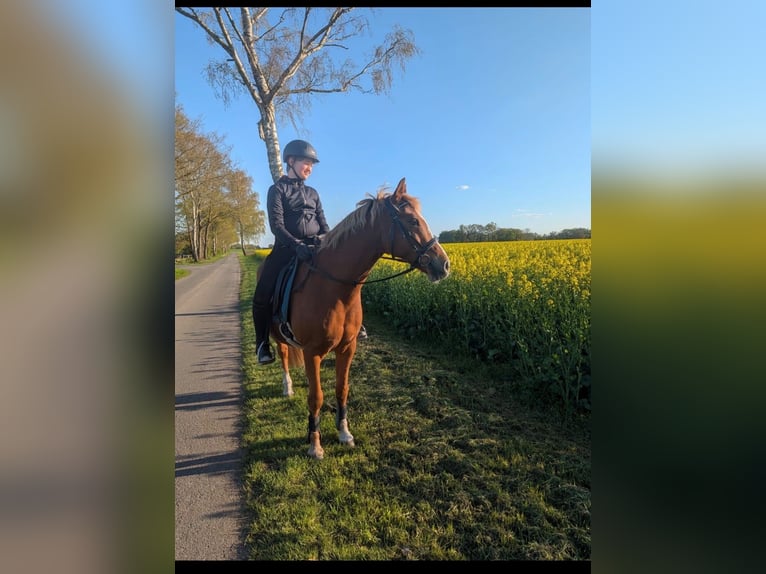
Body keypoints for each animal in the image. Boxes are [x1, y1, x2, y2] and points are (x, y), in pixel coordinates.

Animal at [258, 177, 450, 459]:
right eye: (412, 221)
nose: (444, 265)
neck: (334, 288)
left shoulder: (347, 348)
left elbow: (342, 389)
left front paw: (344, 433)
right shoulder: (312, 352)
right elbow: (316, 396)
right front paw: (314, 444)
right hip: (277, 336)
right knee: (283, 355)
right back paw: (287, 386)